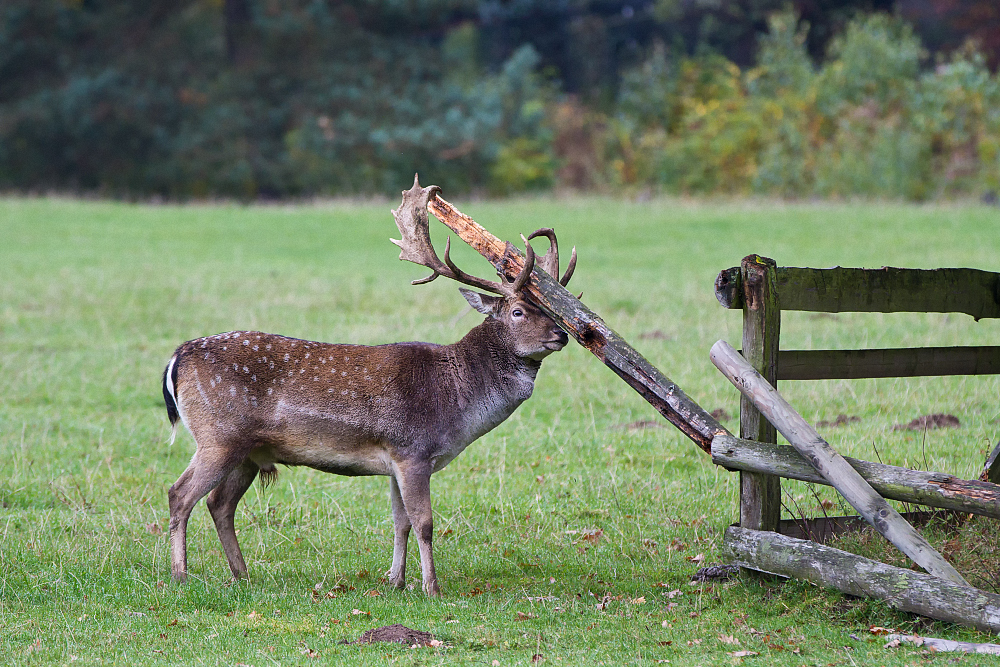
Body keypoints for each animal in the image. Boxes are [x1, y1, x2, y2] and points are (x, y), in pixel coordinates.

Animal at [160, 177, 576, 596]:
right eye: (518, 312)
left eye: (550, 310)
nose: (562, 335)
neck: (458, 400)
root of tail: (176, 358)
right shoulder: (413, 449)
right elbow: (424, 523)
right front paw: (432, 588)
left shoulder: (397, 460)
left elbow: (401, 522)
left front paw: (396, 581)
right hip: (219, 435)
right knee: (180, 494)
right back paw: (180, 576)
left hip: (247, 450)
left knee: (219, 503)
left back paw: (242, 574)